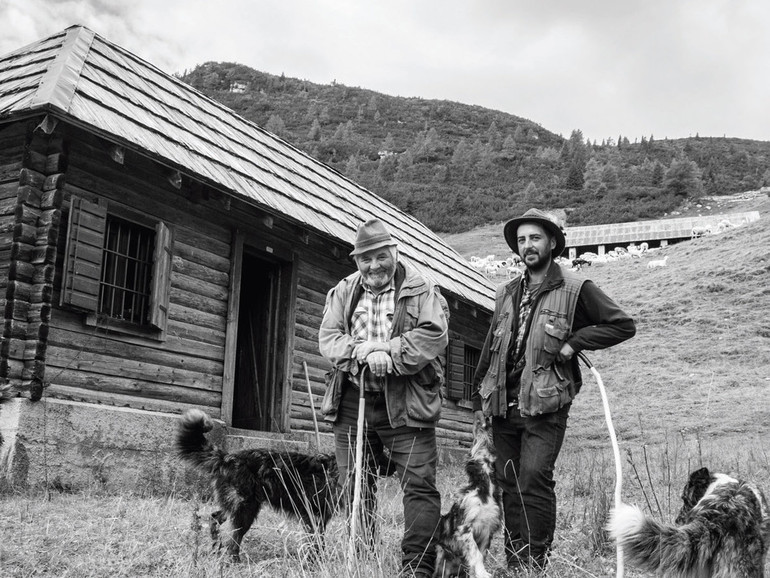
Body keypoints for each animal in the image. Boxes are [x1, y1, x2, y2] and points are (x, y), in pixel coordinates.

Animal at [178, 404, 340, 560]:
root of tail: (227, 458)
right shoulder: (315, 516)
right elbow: (317, 543)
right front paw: (317, 562)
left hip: (238, 506)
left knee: (215, 518)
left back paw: (216, 548)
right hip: (246, 509)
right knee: (233, 541)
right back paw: (234, 561)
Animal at [436, 418, 500, 576]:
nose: (484, 419)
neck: (485, 485)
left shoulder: (487, 530)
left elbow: (480, 554)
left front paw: (476, 574)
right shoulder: (465, 527)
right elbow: (476, 554)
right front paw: (483, 574)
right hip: (440, 551)